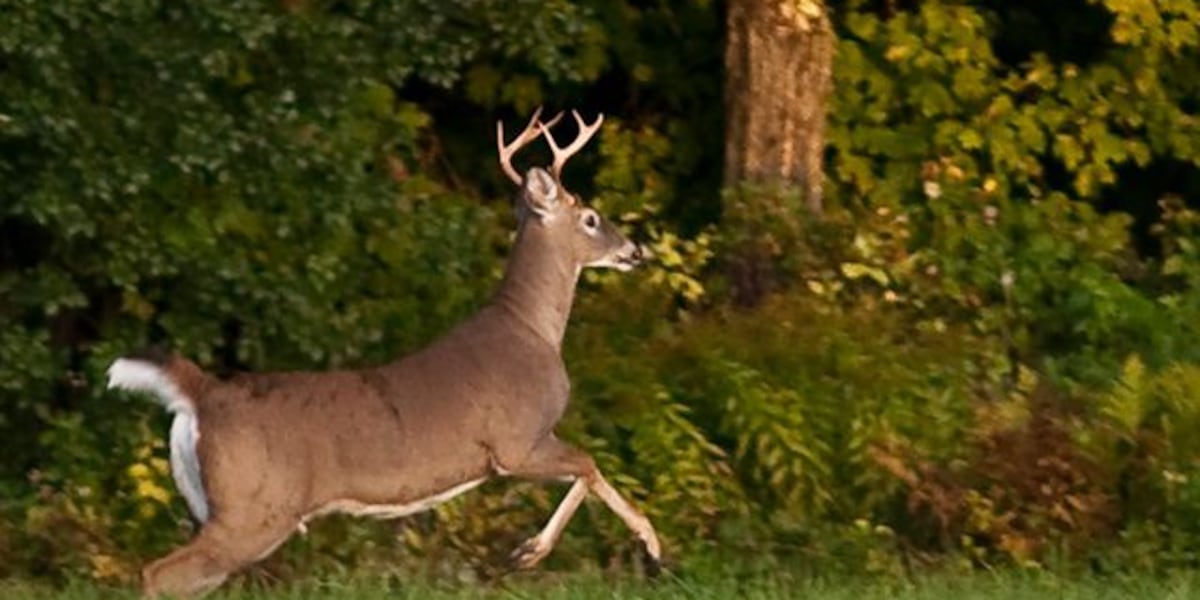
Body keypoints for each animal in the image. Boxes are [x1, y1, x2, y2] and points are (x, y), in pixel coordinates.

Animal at [106, 109, 663, 597]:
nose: (635, 251)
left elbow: (587, 469)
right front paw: (598, 550)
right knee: (158, 574)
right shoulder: (517, 441)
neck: (533, 329)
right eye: (590, 218)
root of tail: (200, 392)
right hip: (253, 509)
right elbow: (588, 464)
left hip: (212, 507)